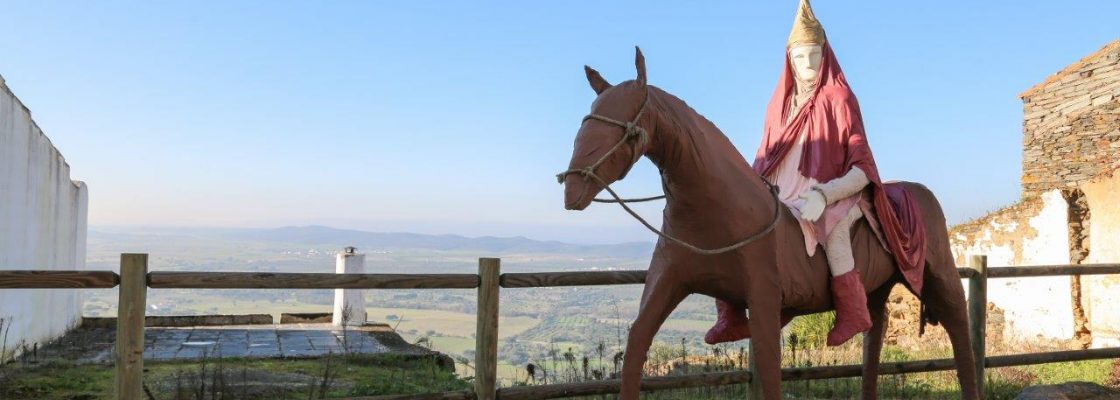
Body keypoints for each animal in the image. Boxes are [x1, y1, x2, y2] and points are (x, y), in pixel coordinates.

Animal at [560, 47, 981, 398]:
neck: (712, 213)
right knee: (873, 338)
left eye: (622, 124)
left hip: (940, 276)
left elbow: (769, 370)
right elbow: (636, 344)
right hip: (878, 289)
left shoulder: (764, 303)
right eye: (586, 121)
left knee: (961, 336)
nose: (572, 188)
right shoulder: (669, 282)